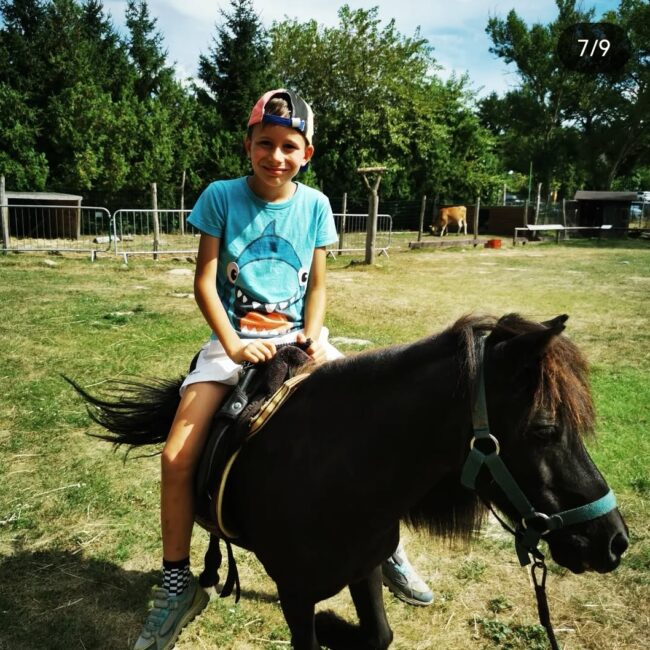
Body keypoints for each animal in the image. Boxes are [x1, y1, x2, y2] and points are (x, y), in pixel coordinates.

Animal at [71, 313, 628, 650]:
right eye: (545, 429)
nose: (615, 541)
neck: (336, 475)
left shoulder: (364, 568)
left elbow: (378, 635)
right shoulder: (295, 595)